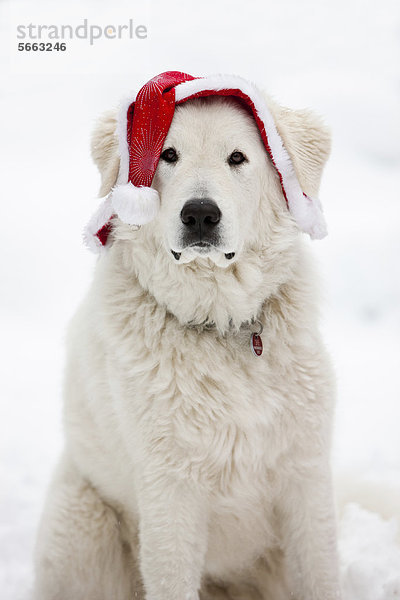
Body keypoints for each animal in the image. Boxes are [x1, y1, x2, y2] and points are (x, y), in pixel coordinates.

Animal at [33, 75, 340, 600]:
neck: (220, 324)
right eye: (168, 155)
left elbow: (319, 576)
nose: (199, 215)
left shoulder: (306, 479)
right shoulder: (170, 492)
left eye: (237, 157)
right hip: (81, 523)